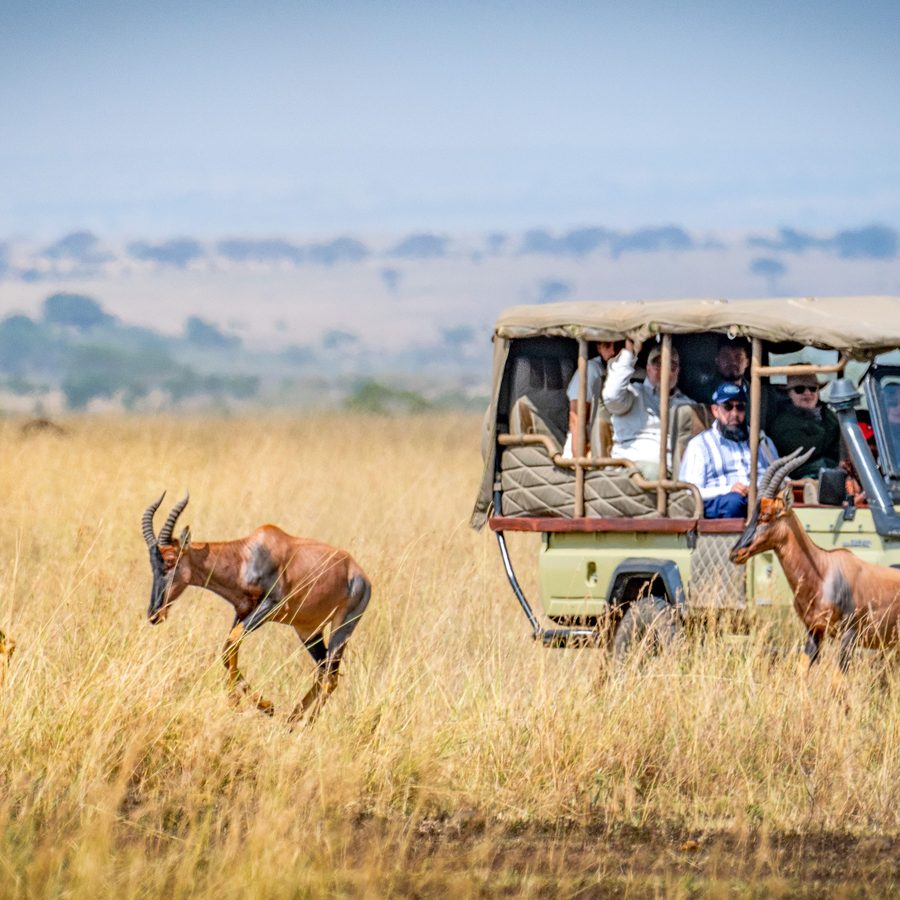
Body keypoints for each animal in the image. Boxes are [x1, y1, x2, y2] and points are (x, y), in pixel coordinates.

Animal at [142, 493, 371, 722]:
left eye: (171, 561)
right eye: (152, 564)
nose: (154, 614)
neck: (247, 556)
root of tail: (361, 575)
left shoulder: (270, 606)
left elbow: (232, 642)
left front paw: (253, 704)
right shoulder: (242, 611)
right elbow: (228, 648)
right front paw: (252, 704)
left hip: (343, 627)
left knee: (331, 677)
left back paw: (306, 725)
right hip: (308, 631)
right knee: (323, 671)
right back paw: (291, 720)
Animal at [730, 448, 900, 670]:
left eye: (767, 515)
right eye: (753, 514)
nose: (736, 553)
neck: (824, 570)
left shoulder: (849, 635)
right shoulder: (814, 631)